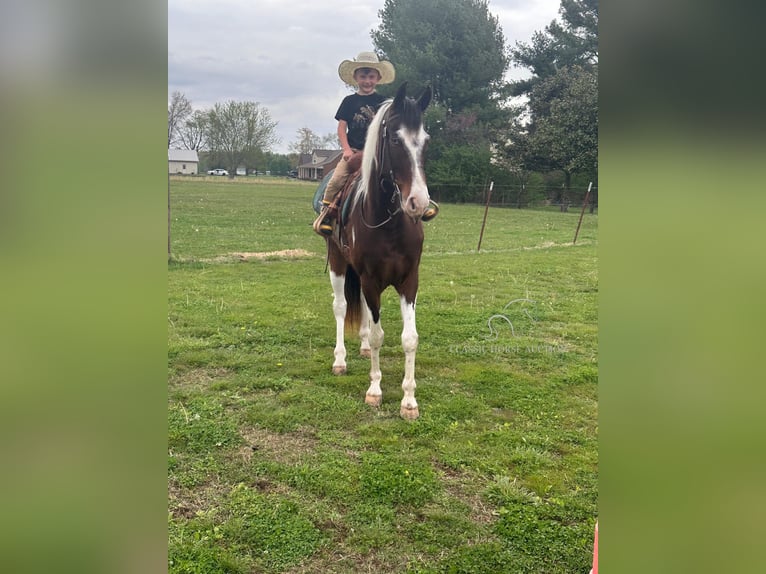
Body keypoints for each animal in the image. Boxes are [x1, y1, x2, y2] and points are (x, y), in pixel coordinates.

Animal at [320, 81, 436, 420]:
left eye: (425, 141)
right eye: (395, 139)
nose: (418, 203)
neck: (389, 224)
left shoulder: (409, 281)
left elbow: (409, 339)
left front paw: (409, 401)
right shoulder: (371, 280)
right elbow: (377, 334)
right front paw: (374, 391)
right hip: (337, 262)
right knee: (341, 306)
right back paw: (341, 359)